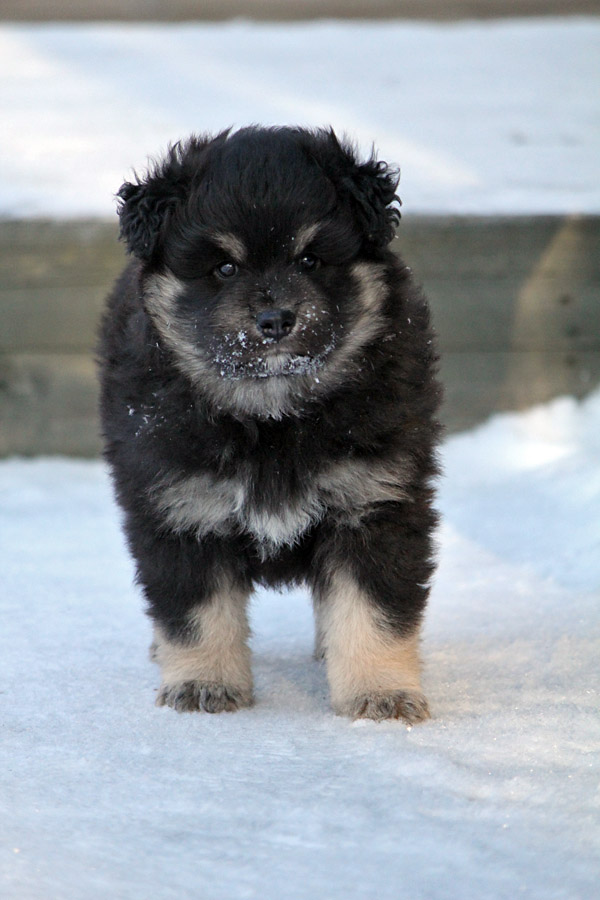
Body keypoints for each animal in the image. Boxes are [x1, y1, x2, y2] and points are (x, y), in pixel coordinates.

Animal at [98, 126, 441, 722]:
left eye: (310, 259)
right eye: (224, 268)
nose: (276, 320)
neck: (272, 416)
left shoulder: (377, 505)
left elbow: (373, 611)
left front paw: (380, 695)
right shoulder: (181, 508)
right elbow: (197, 614)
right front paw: (204, 686)